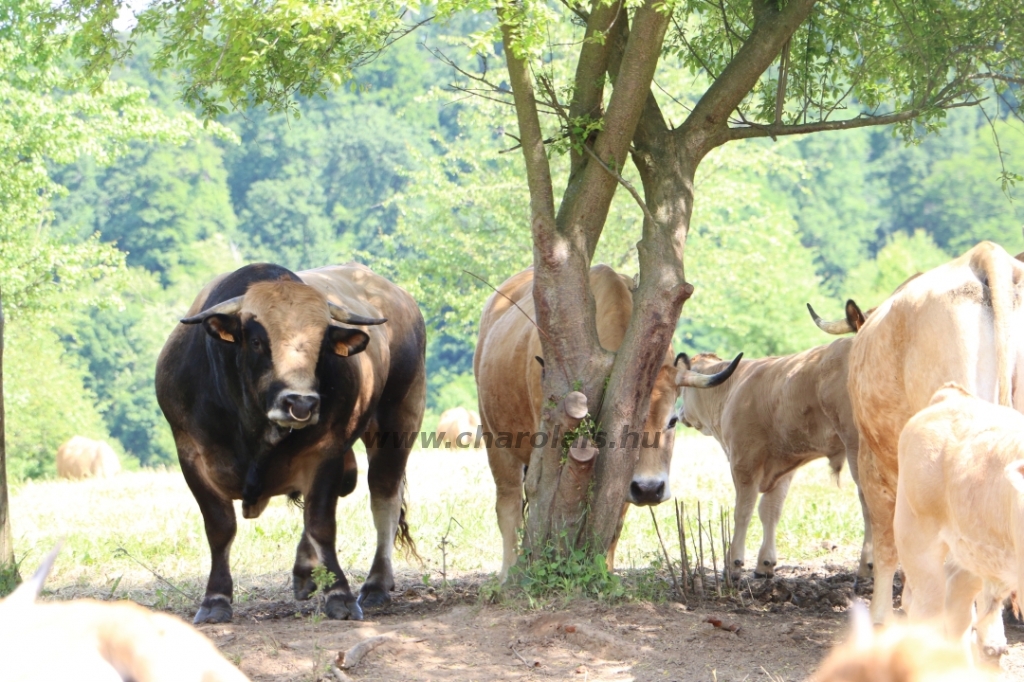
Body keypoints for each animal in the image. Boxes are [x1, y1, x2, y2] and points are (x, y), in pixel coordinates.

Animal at [154, 261, 423, 622]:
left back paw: (376, 583)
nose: (301, 403)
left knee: (384, 500)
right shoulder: (191, 455)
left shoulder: (327, 452)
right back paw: (305, 571)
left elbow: (321, 522)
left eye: (322, 343)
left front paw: (339, 594)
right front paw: (215, 599)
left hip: (398, 423)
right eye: (256, 341)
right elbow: (220, 528)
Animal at [475, 262, 741, 577]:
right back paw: (508, 572)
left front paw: (607, 570)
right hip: (495, 439)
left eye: (672, 420)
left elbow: (613, 520)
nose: (649, 488)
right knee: (509, 503)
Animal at [675, 333, 868, 577]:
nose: (679, 414)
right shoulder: (784, 466)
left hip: (857, 447)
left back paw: (867, 565)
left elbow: (743, 510)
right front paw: (765, 564)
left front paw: (733, 563)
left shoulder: (743, 460)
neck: (734, 387)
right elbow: (770, 510)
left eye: (683, 391)